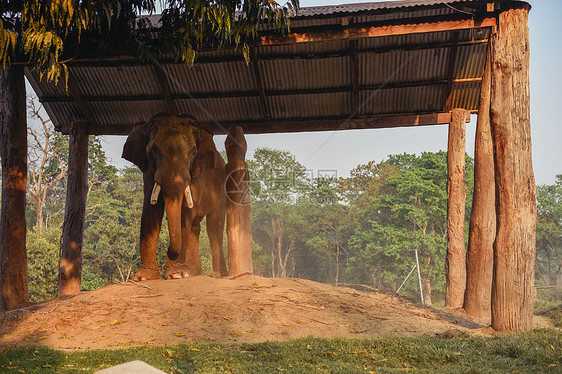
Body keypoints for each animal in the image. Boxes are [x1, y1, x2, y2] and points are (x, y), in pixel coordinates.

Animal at [121, 112, 226, 282]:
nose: (169, 251)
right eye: (154, 152)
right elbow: (151, 209)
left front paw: (176, 275)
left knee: (214, 226)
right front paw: (144, 278)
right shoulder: (149, 171)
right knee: (195, 227)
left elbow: (185, 212)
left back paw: (218, 275)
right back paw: (192, 274)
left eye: (192, 153)